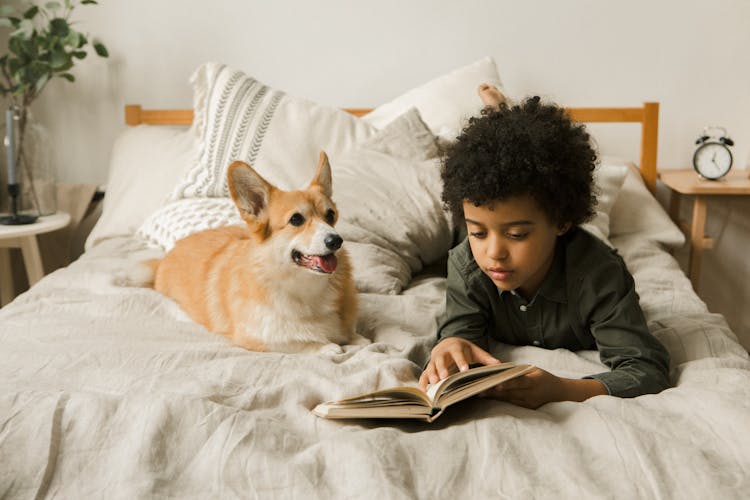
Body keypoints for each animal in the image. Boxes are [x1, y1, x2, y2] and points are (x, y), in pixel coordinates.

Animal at [148, 151, 368, 352]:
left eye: (330, 215)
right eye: (296, 219)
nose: (336, 241)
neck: (306, 287)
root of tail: (165, 258)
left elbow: (358, 338)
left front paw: (355, 340)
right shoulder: (258, 339)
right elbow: (304, 343)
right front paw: (327, 346)